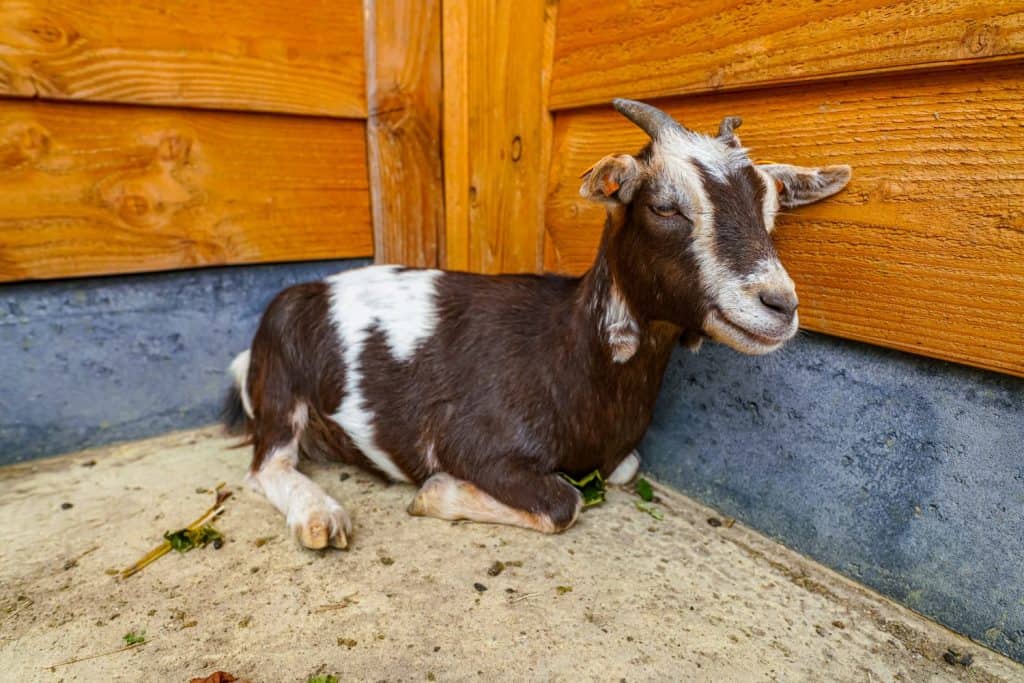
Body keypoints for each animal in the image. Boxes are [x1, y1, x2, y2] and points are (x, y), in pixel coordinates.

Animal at [224, 99, 851, 549]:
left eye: (771, 208)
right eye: (665, 206)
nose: (779, 304)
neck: (567, 354)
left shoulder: (617, 458)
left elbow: (624, 469)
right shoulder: (472, 441)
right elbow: (561, 503)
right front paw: (435, 494)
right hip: (281, 380)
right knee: (267, 464)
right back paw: (321, 517)